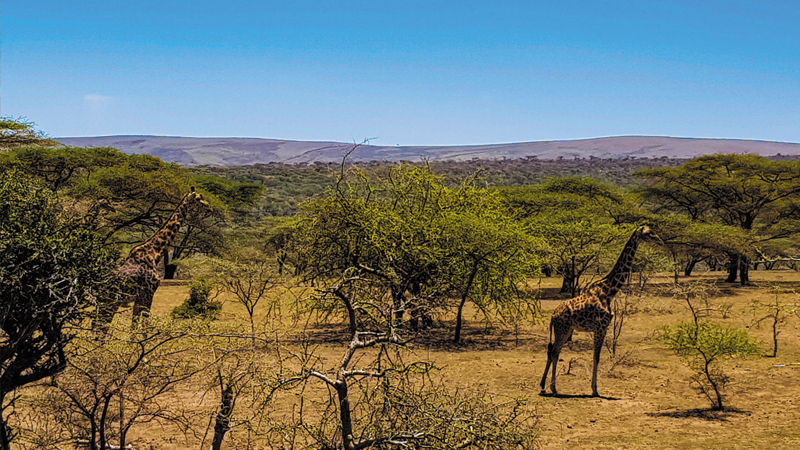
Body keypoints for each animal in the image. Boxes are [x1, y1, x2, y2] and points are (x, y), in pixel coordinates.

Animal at [97, 188, 211, 328]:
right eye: (199, 199)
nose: (210, 208)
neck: (155, 252)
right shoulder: (149, 293)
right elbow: (145, 325)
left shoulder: (140, 297)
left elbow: (134, 325)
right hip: (110, 302)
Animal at [540, 225, 660, 398]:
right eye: (648, 233)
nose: (659, 240)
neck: (610, 290)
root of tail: (553, 316)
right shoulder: (601, 327)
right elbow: (596, 357)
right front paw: (595, 389)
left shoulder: (601, 328)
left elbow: (595, 356)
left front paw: (594, 388)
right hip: (562, 330)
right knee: (554, 352)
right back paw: (553, 388)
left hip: (565, 330)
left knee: (553, 351)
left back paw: (545, 386)